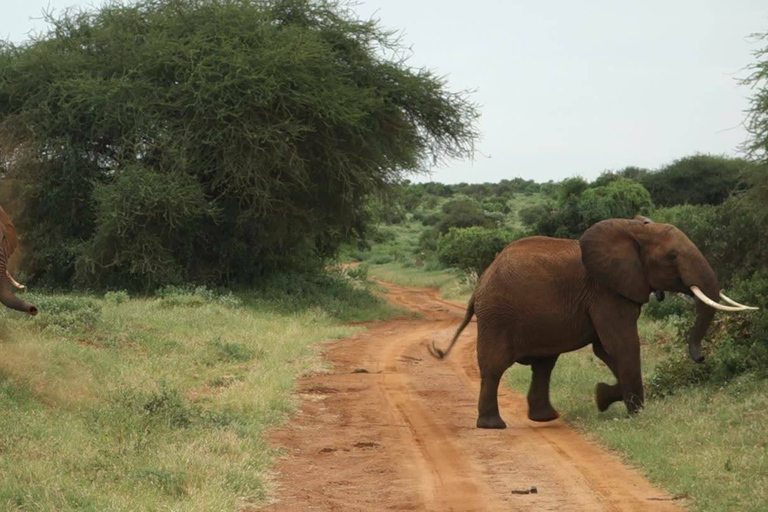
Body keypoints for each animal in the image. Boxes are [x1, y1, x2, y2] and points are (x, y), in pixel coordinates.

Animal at [428, 216, 760, 428]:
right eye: (672, 257)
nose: (701, 358)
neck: (633, 230)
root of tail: (480, 283)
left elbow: (607, 350)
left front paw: (603, 397)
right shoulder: (606, 292)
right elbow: (622, 345)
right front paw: (634, 412)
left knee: (544, 365)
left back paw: (545, 418)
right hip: (498, 315)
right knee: (495, 366)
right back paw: (493, 425)